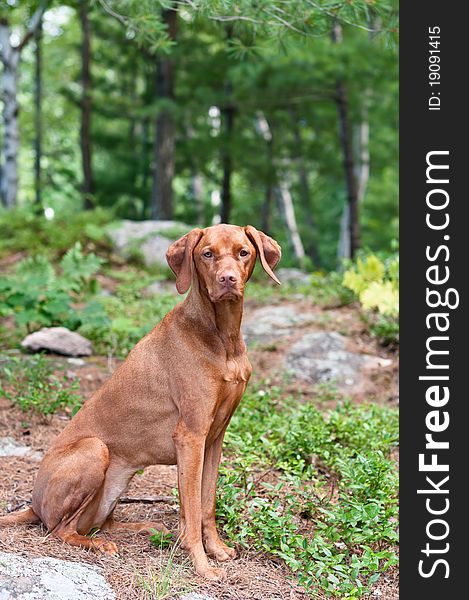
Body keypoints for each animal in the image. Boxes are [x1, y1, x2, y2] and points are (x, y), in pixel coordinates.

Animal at [0, 223, 280, 580]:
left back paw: (144, 528)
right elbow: (191, 510)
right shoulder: (190, 437)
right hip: (95, 450)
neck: (221, 336)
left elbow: (205, 504)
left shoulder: (214, 439)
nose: (227, 279)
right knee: (61, 530)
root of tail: (33, 504)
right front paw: (202, 565)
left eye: (243, 252)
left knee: (101, 523)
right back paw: (100, 545)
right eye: (207, 254)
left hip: (117, 483)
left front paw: (216, 550)